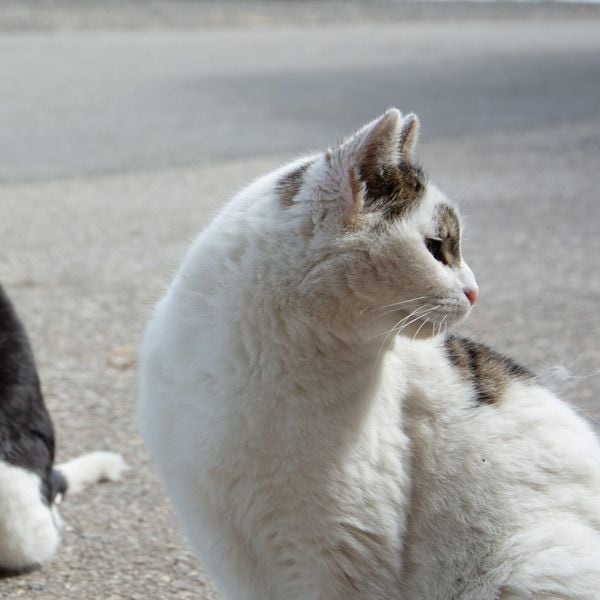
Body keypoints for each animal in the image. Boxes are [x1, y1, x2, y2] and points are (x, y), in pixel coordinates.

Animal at [139, 110, 600, 596]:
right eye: (436, 247)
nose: (475, 292)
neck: (261, 365)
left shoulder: (340, 550)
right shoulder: (223, 539)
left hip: (527, 566)